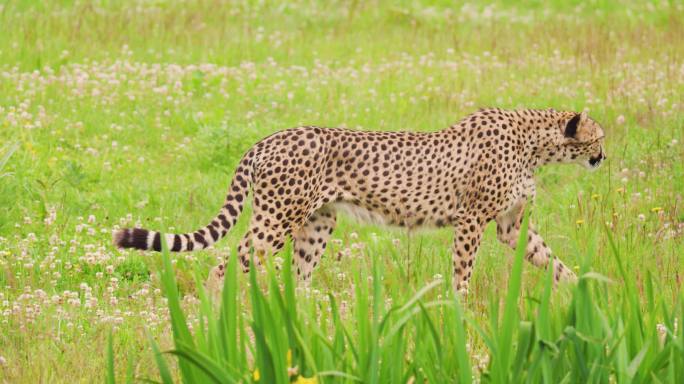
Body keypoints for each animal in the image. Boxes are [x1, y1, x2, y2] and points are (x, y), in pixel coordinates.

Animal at [115, 107, 608, 292]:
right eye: (599, 137)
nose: (604, 156)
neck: (535, 142)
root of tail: (269, 137)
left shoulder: (510, 225)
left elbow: (552, 260)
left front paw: (589, 291)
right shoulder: (471, 220)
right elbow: (462, 273)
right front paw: (461, 312)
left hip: (317, 223)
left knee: (298, 278)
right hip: (276, 220)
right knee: (225, 264)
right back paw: (217, 322)